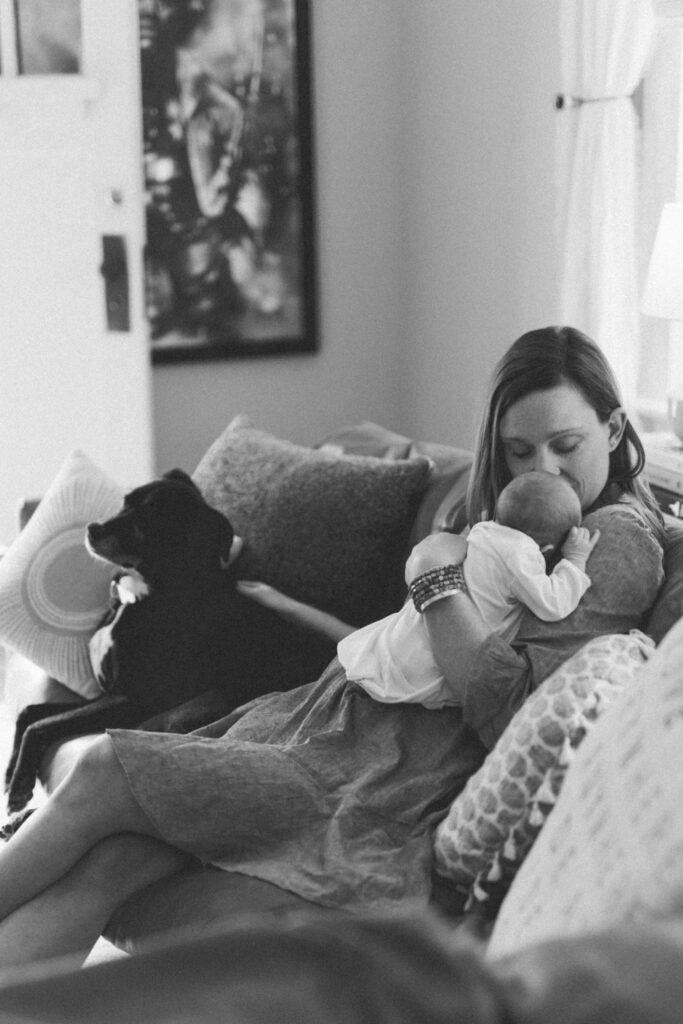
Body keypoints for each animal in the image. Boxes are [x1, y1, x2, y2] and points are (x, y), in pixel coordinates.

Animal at [4, 471, 335, 815]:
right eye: (125, 502)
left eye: (146, 520)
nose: (92, 528)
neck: (145, 594)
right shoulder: (107, 693)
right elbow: (30, 712)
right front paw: (12, 769)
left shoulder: (130, 700)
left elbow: (43, 724)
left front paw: (19, 784)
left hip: (179, 714)